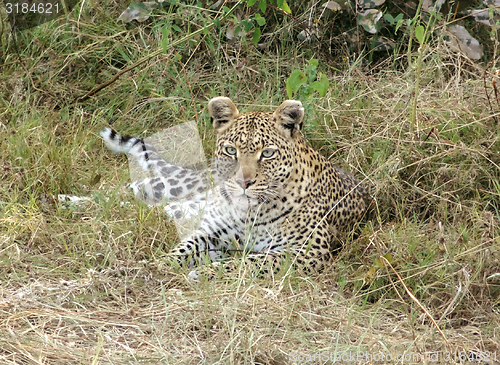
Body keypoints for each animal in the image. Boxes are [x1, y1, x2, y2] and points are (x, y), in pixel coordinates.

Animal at [101, 96, 368, 278]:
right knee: (136, 189)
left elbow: (253, 262)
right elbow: (182, 249)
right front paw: (151, 266)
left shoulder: (307, 251)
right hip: (186, 186)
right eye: (231, 150)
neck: (251, 212)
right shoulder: (213, 232)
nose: (243, 183)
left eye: (267, 153)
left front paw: (206, 273)